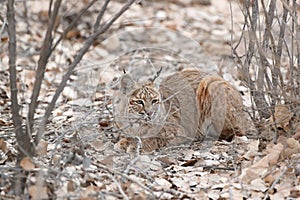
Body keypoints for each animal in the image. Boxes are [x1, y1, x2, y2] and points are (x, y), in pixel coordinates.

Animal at [112, 68, 246, 152]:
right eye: (139, 102)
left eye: (154, 101)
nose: (150, 113)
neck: (137, 124)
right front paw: (125, 142)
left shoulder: (180, 131)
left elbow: (155, 137)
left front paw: (138, 146)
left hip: (210, 83)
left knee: (235, 131)